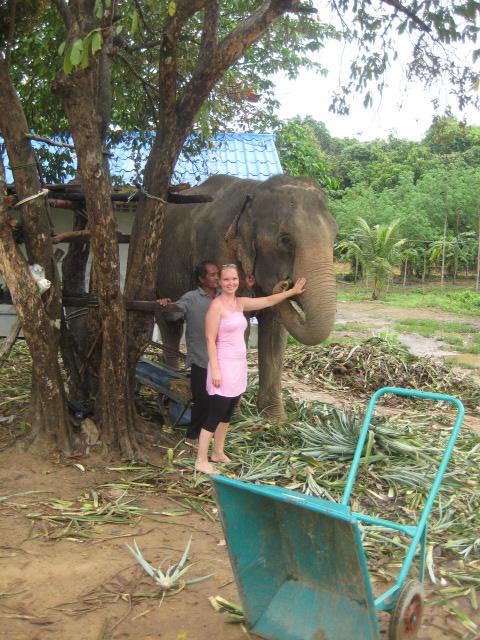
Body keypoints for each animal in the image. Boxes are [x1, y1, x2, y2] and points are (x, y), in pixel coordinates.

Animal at [155, 174, 338, 420]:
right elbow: (238, 330)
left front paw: (275, 420)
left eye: (335, 236)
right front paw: (232, 414)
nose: (286, 283)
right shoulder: (218, 249)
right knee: (169, 324)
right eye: (285, 240)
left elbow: (274, 334)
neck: (254, 192)